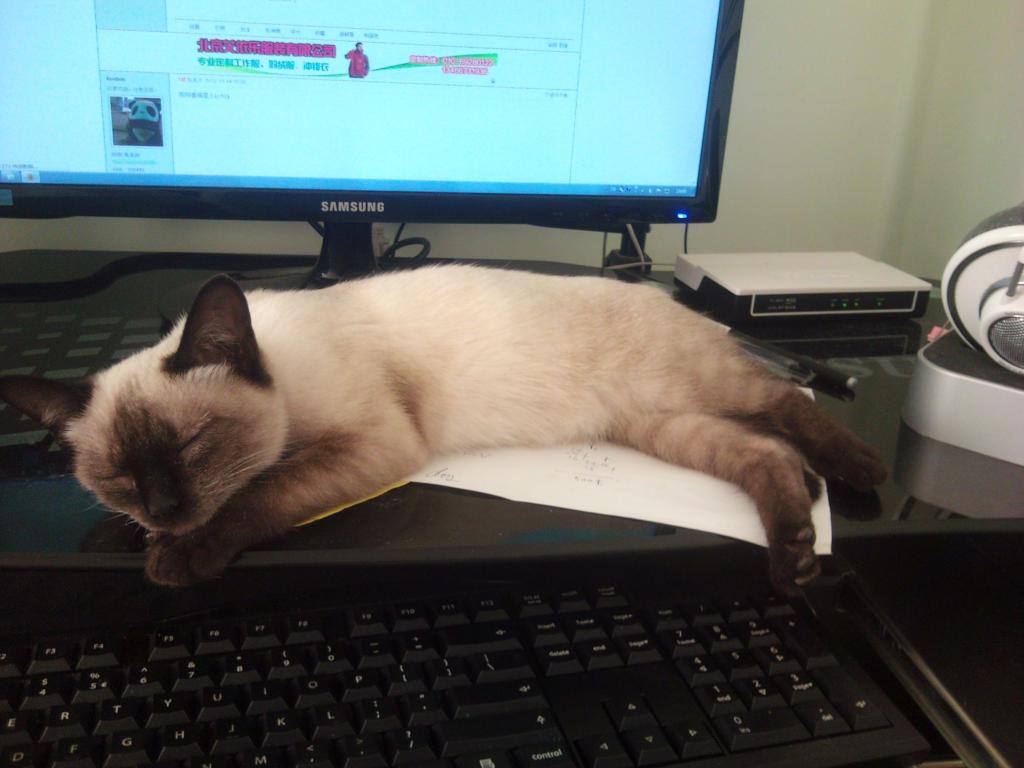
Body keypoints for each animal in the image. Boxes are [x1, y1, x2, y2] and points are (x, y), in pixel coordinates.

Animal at [0, 265, 886, 592]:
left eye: (190, 445)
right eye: (118, 476)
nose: (163, 509)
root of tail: (666, 292)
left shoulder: (374, 446)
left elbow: (261, 496)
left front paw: (177, 559)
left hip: (689, 390)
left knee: (785, 404)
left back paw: (859, 474)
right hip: (661, 425)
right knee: (765, 453)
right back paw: (796, 544)